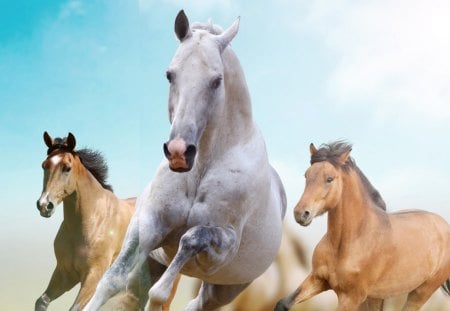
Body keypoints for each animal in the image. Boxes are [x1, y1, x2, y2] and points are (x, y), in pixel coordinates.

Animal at [34, 132, 137, 311]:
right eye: (44, 165)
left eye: (67, 168)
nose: (44, 205)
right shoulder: (65, 273)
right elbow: (42, 301)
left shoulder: (93, 276)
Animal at [83, 9, 286, 311]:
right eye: (170, 75)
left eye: (217, 80)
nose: (179, 152)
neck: (199, 171)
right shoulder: (147, 224)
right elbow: (114, 280)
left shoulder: (222, 246)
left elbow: (189, 242)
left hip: (223, 289)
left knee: (195, 303)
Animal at [276, 142, 450, 311]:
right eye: (306, 175)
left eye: (329, 179)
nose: (300, 214)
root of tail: (444, 224)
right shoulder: (318, 279)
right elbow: (282, 304)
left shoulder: (351, 297)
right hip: (377, 296)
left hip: (421, 292)